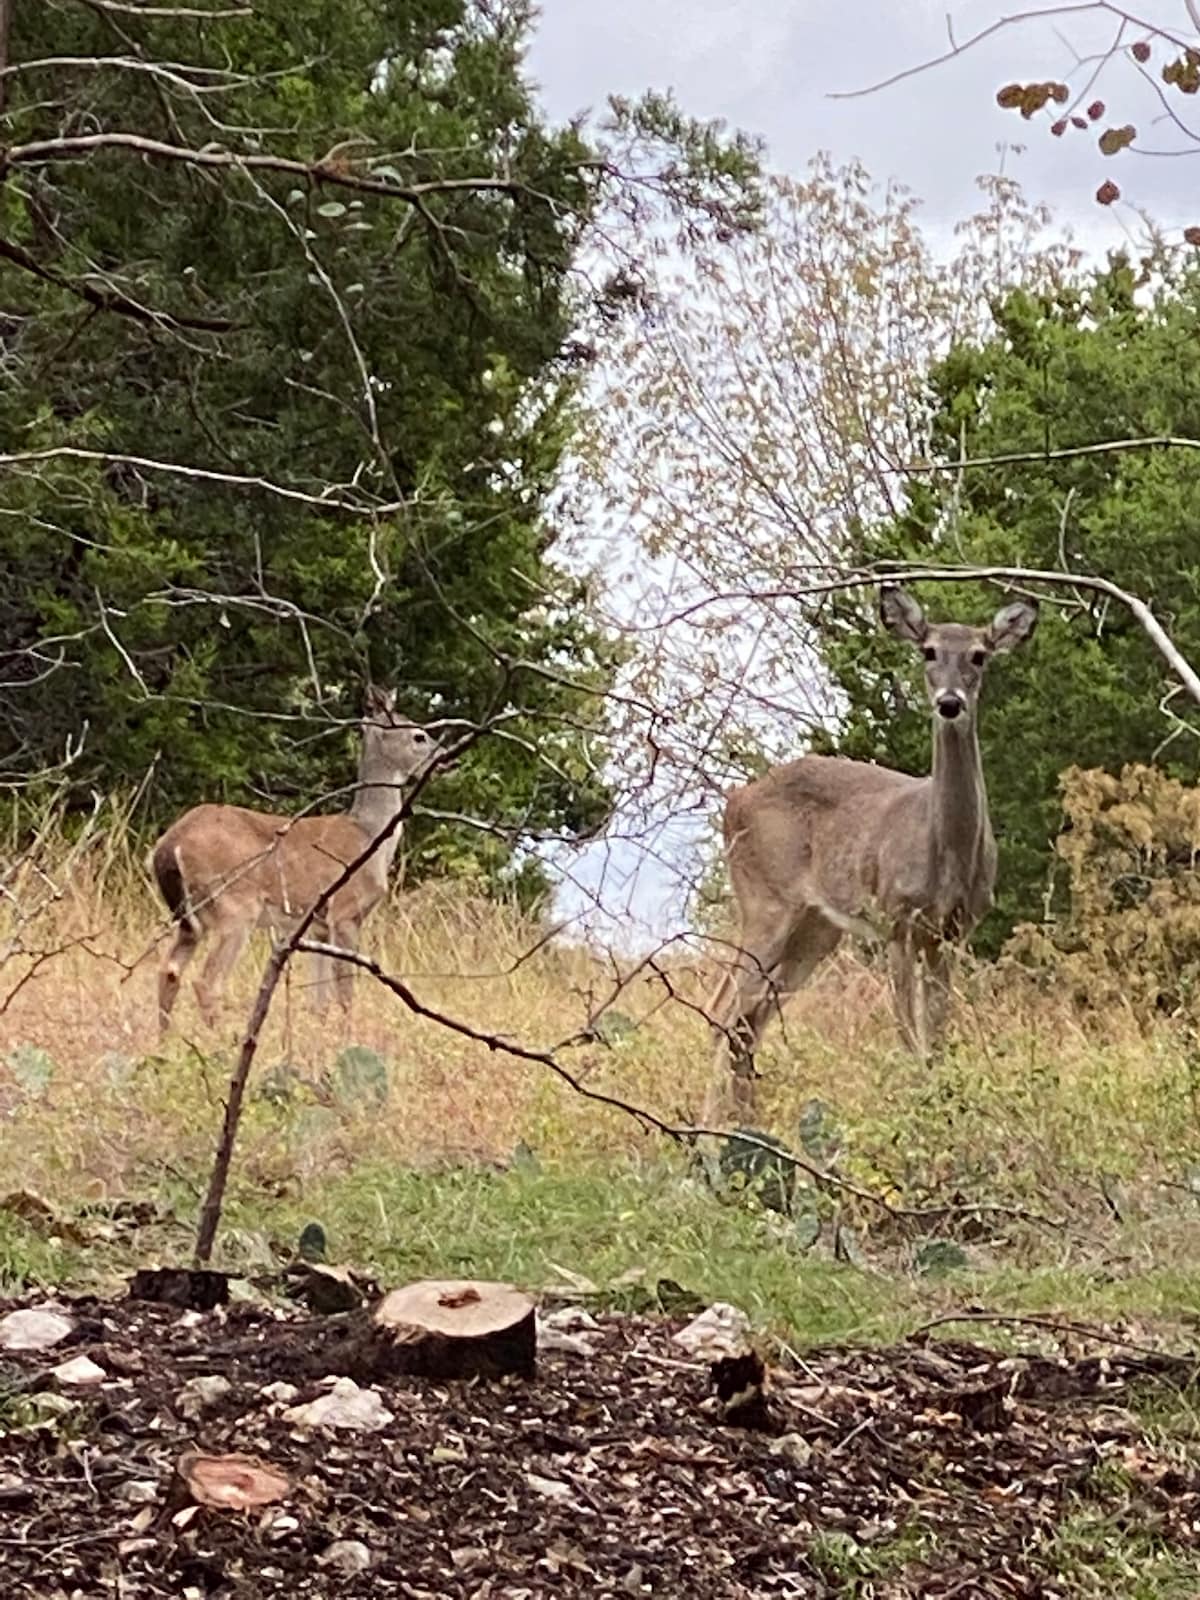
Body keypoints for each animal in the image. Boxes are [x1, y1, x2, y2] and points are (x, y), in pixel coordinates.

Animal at [146, 688, 438, 1036]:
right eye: (419, 735)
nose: (445, 756)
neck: (370, 836)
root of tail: (169, 845)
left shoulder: (318, 927)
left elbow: (319, 999)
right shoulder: (345, 912)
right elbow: (345, 991)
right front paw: (348, 1035)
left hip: (190, 916)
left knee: (169, 969)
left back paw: (165, 1040)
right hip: (234, 904)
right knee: (207, 981)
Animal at [710, 582, 1036, 1120]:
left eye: (979, 655)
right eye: (928, 651)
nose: (950, 702)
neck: (945, 852)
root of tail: (733, 801)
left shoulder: (952, 931)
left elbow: (937, 1035)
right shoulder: (897, 919)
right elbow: (907, 1034)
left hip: (817, 929)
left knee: (749, 1019)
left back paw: (743, 1123)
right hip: (765, 900)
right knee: (722, 1010)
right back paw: (709, 1132)